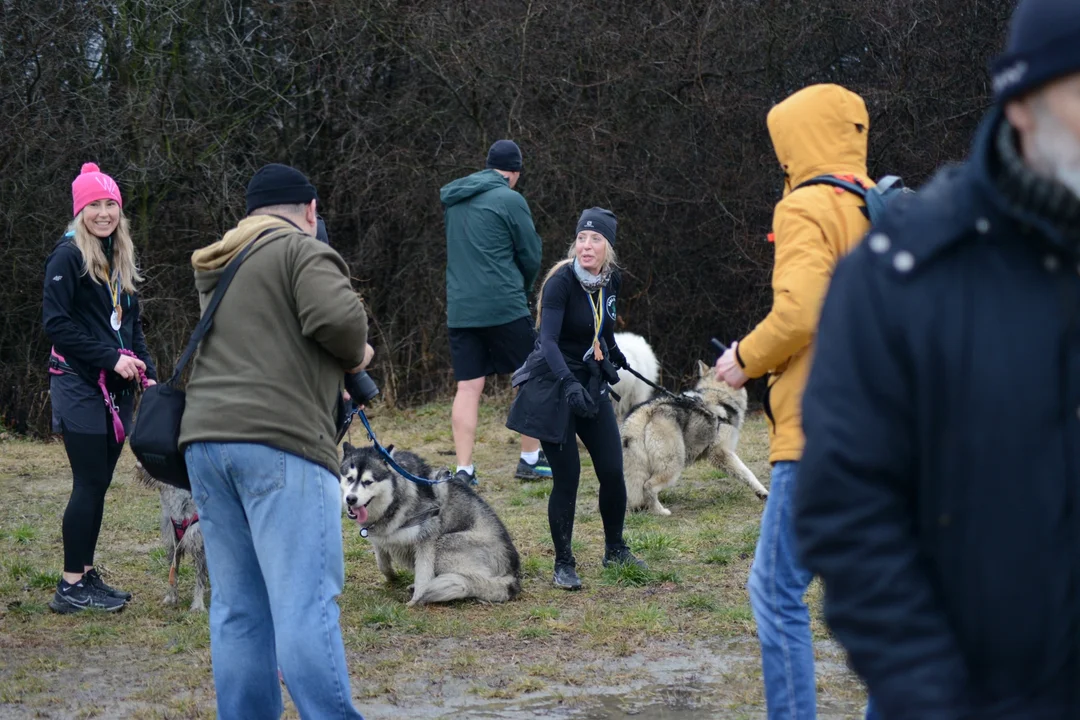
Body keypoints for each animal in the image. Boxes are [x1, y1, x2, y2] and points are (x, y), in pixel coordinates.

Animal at [133, 464, 208, 613]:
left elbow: (199, 580)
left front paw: (197, 605)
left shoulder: (200, 548)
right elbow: (173, 575)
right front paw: (171, 598)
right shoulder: (173, 546)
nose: (138, 464)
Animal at [339, 442, 520, 604]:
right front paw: (392, 577)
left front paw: (416, 600)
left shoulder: (427, 538)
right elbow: (382, 563)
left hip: (444, 545)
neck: (396, 497)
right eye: (349, 478)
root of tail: (513, 576)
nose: (351, 499)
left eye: (368, 482)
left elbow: (423, 573)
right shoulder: (379, 537)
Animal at [622, 362, 764, 515]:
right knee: (648, 486)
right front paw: (763, 492)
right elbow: (748, 473)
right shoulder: (722, 453)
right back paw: (661, 512)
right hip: (674, 466)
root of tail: (647, 410)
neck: (718, 392)